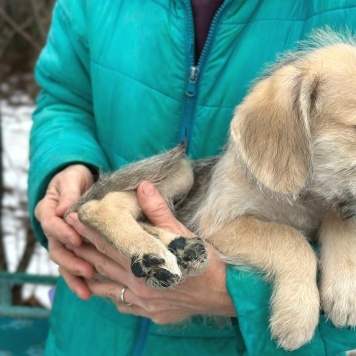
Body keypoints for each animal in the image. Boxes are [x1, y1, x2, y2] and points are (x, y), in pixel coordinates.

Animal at [66, 28, 356, 350]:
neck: (306, 198)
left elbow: (339, 222)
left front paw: (344, 291)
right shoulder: (220, 224)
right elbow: (289, 238)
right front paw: (296, 314)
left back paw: (182, 248)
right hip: (181, 172)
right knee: (100, 207)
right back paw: (151, 253)